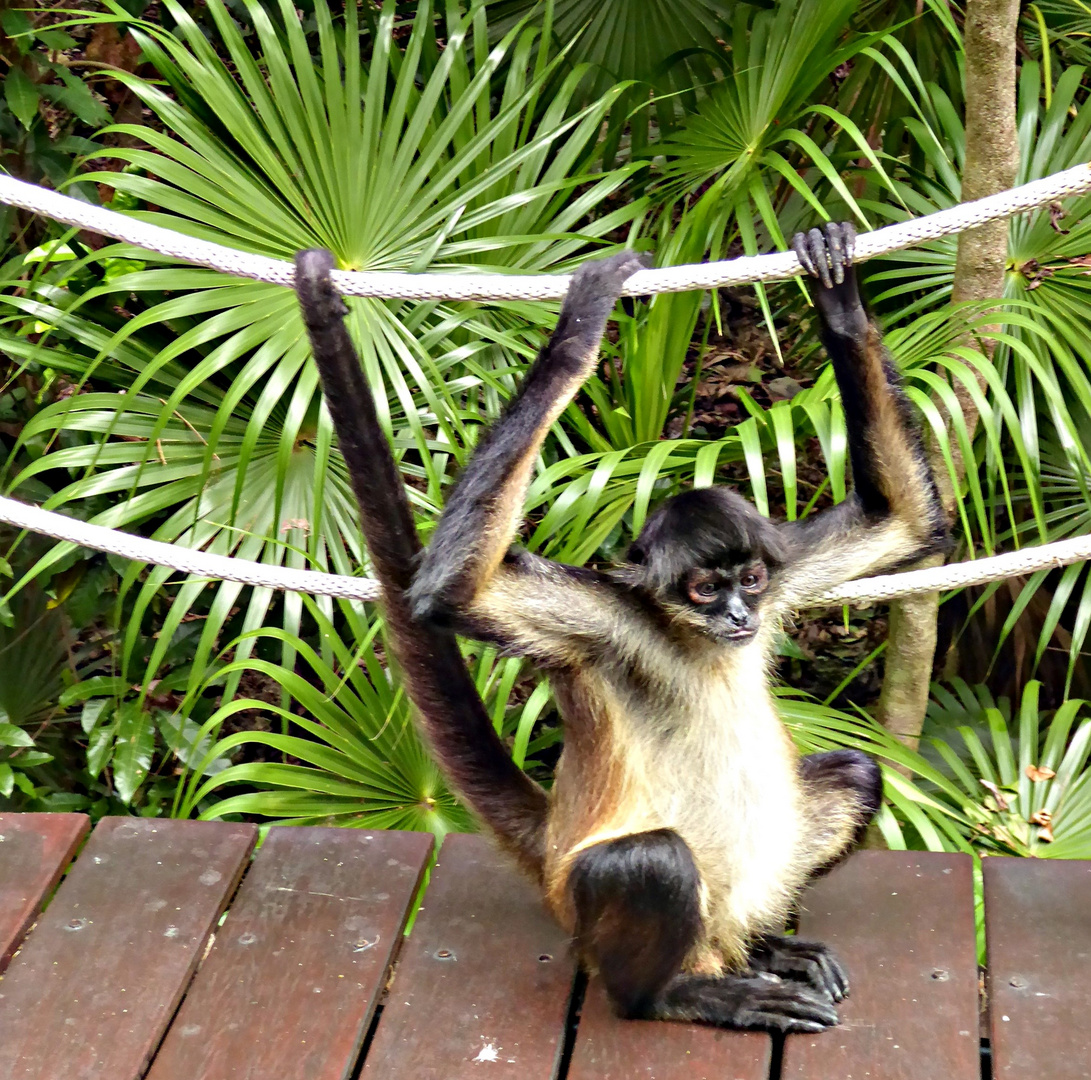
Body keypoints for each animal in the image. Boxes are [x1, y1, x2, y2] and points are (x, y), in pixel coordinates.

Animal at [296, 221, 946, 1038]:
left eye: (748, 580)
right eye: (704, 589)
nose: (740, 616)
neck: (690, 639)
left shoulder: (784, 566)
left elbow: (906, 525)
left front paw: (836, 297)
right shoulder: (604, 621)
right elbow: (450, 595)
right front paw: (578, 331)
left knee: (857, 773)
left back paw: (766, 946)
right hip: (587, 905)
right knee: (653, 864)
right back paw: (675, 993)